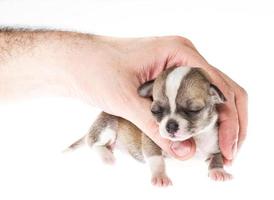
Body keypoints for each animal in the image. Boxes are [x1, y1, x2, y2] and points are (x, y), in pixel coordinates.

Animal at [66, 66, 231, 187]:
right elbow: (156, 158)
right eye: (155, 111)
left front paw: (218, 171)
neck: (195, 138)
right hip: (107, 127)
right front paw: (160, 175)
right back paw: (107, 157)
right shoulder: (150, 140)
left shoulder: (214, 143)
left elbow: (217, 156)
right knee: (92, 143)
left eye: (194, 110)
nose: (171, 126)